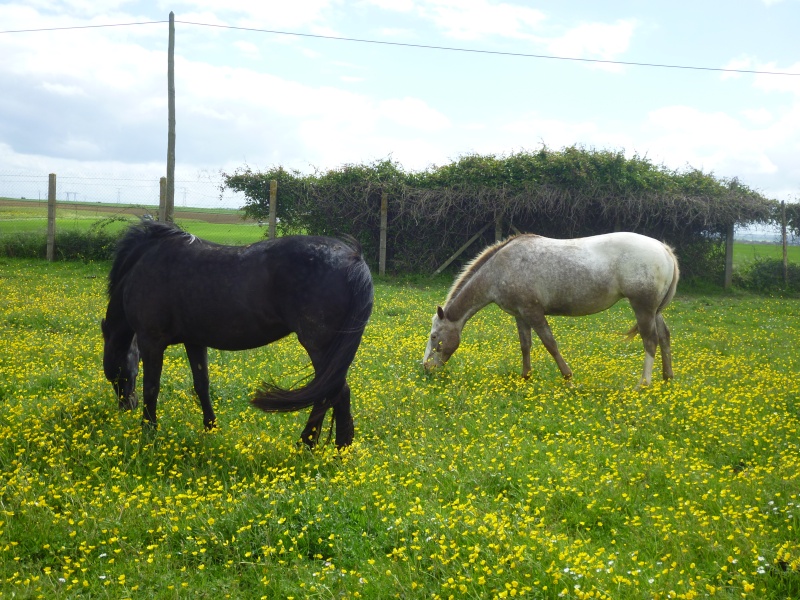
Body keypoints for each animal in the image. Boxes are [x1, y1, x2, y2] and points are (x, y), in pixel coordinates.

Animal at [101, 219, 374, 446]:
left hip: (320, 346)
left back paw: (320, 445)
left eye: (116, 371)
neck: (144, 264)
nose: (126, 406)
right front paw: (211, 428)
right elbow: (202, 384)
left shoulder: (151, 341)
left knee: (335, 392)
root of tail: (352, 257)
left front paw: (148, 430)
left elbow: (151, 387)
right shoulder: (194, 341)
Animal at [422, 232, 680, 386]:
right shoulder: (521, 316)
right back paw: (667, 378)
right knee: (664, 337)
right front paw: (525, 376)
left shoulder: (534, 313)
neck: (499, 269)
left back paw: (643, 384)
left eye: (434, 336)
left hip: (643, 308)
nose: (426, 368)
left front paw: (568, 377)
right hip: (655, 311)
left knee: (650, 341)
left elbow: (550, 344)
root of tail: (664, 249)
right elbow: (525, 345)